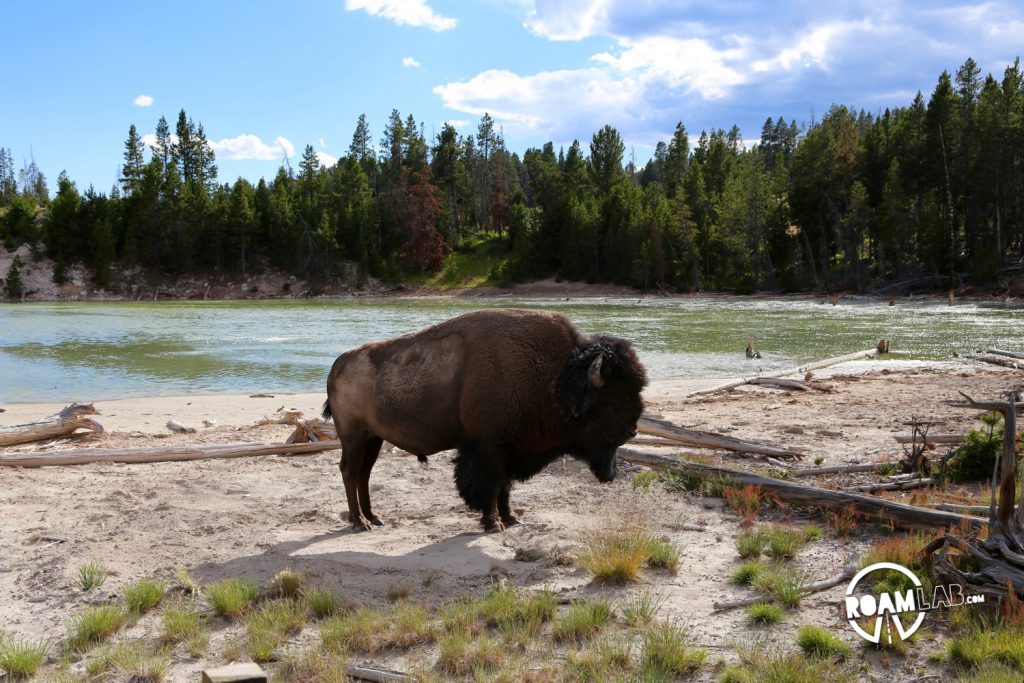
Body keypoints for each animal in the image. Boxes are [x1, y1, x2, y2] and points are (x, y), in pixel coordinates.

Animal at [321, 307, 647, 532]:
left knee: (364, 473)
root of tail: (337, 365)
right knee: (350, 471)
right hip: (353, 436)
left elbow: (505, 487)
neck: (556, 379)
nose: (631, 430)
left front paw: (511, 519)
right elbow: (489, 485)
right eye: (612, 399)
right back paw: (360, 522)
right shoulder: (490, 448)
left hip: (373, 438)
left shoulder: (511, 449)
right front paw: (493, 524)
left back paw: (375, 518)